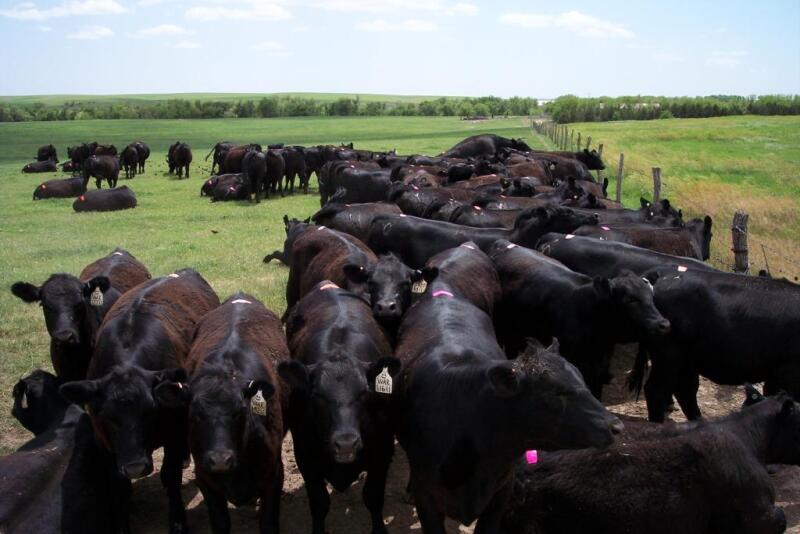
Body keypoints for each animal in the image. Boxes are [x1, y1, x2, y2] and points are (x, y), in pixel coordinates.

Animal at [59, 269, 219, 534]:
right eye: (107, 416)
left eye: (151, 411)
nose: (135, 466)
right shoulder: (105, 442)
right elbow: (119, 485)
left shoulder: (174, 433)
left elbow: (170, 477)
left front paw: (178, 522)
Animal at [154, 294, 289, 533]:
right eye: (194, 415)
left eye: (240, 411)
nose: (220, 460)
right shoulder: (206, 480)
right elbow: (220, 523)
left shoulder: (273, 475)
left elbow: (268, 524)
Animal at [279, 281, 400, 534]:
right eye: (317, 395)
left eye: (365, 392)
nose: (346, 443)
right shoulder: (305, 457)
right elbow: (319, 503)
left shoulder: (383, 452)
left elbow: (373, 497)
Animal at [631, 267, 800, 422]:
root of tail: (661, 273)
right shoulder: (784, 377)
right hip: (669, 354)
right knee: (657, 390)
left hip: (687, 360)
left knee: (685, 390)